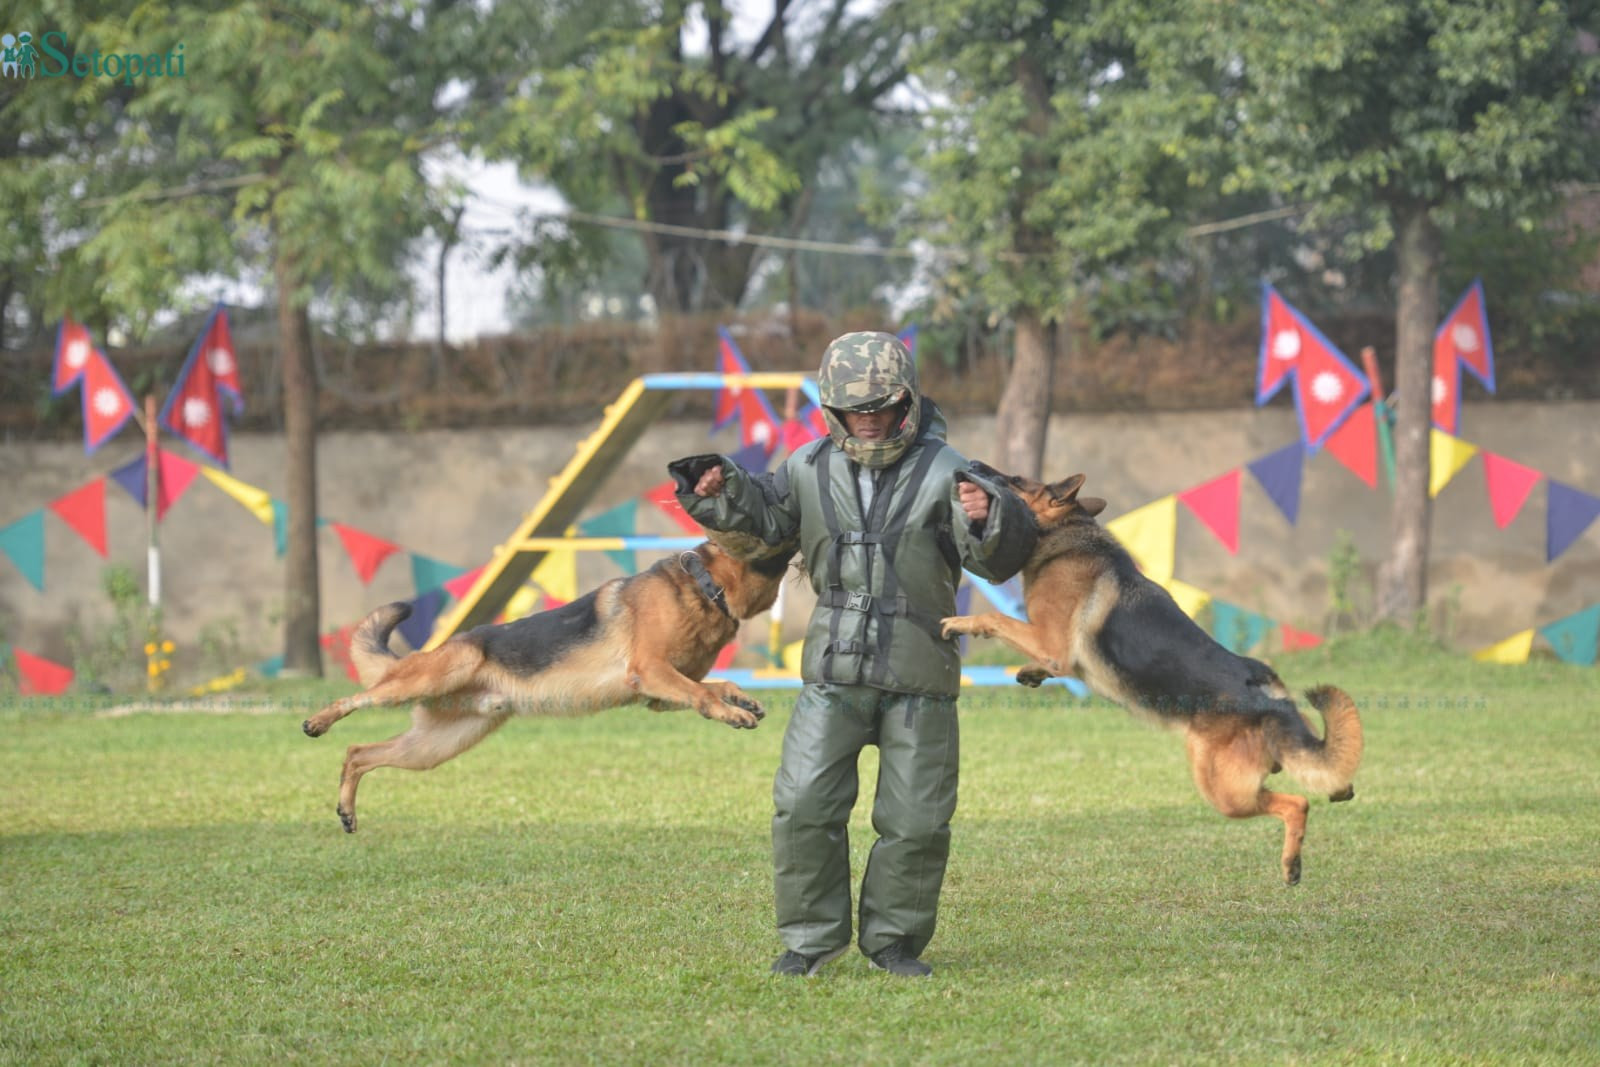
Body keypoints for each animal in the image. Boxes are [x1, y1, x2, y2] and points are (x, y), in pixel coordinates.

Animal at [299, 531, 793, 831]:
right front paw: (731, 712)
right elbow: (699, 692)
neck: (706, 586)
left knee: (359, 752)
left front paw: (740, 701)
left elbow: (711, 687)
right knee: (356, 699)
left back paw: (346, 810)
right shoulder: (651, 672)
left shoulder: (658, 693)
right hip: (427, 679)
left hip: (434, 747)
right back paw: (317, 722)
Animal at [934, 467, 1363, 883]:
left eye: (1016, 480)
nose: (969, 467)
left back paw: (1292, 864)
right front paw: (1029, 672)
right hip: (1283, 745)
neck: (1069, 532)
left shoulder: (1051, 643)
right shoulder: (1053, 649)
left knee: (1299, 802)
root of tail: (1264, 699)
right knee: (1331, 772)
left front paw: (960, 623)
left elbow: (995, 618)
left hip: (1223, 791)